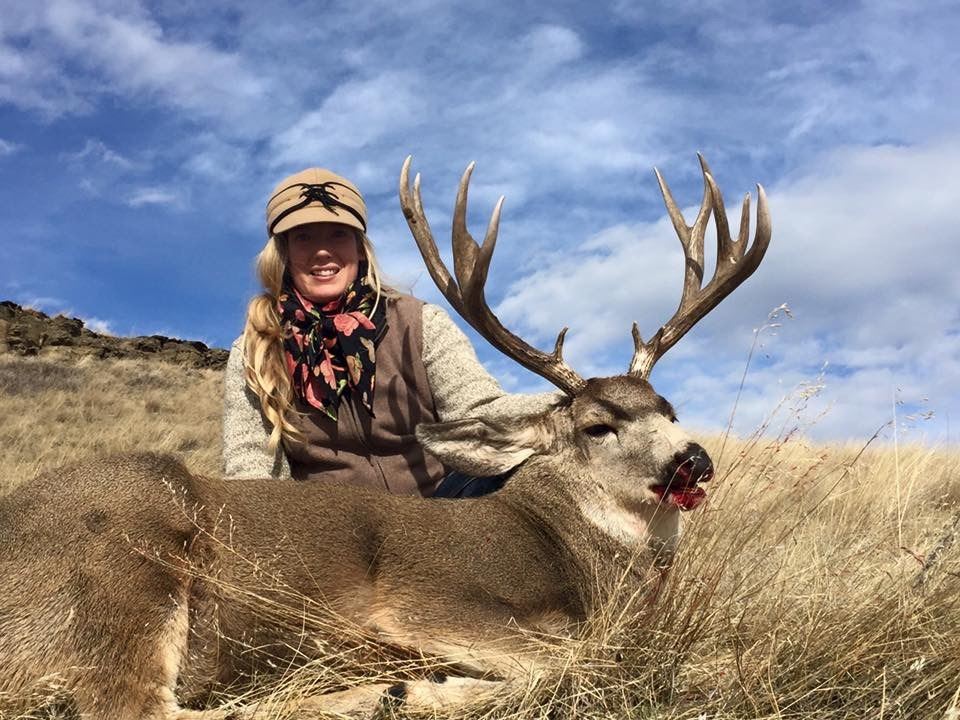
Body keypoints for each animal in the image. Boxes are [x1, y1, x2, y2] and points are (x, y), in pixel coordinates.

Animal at [0, 155, 770, 720]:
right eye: (597, 425)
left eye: (668, 406)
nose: (693, 458)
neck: (573, 552)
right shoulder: (426, 600)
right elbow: (578, 659)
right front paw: (418, 686)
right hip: (127, 556)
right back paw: (361, 695)